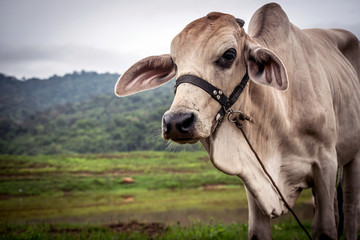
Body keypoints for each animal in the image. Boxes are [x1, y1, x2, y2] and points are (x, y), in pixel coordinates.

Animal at [115, 2, 360, 239]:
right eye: (174, 62)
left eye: (229, 55)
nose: (177, 121)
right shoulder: (253, 178)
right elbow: (258, 231)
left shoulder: (326, 163)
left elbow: (325, 228)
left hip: (353, 158)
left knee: (350, 208)